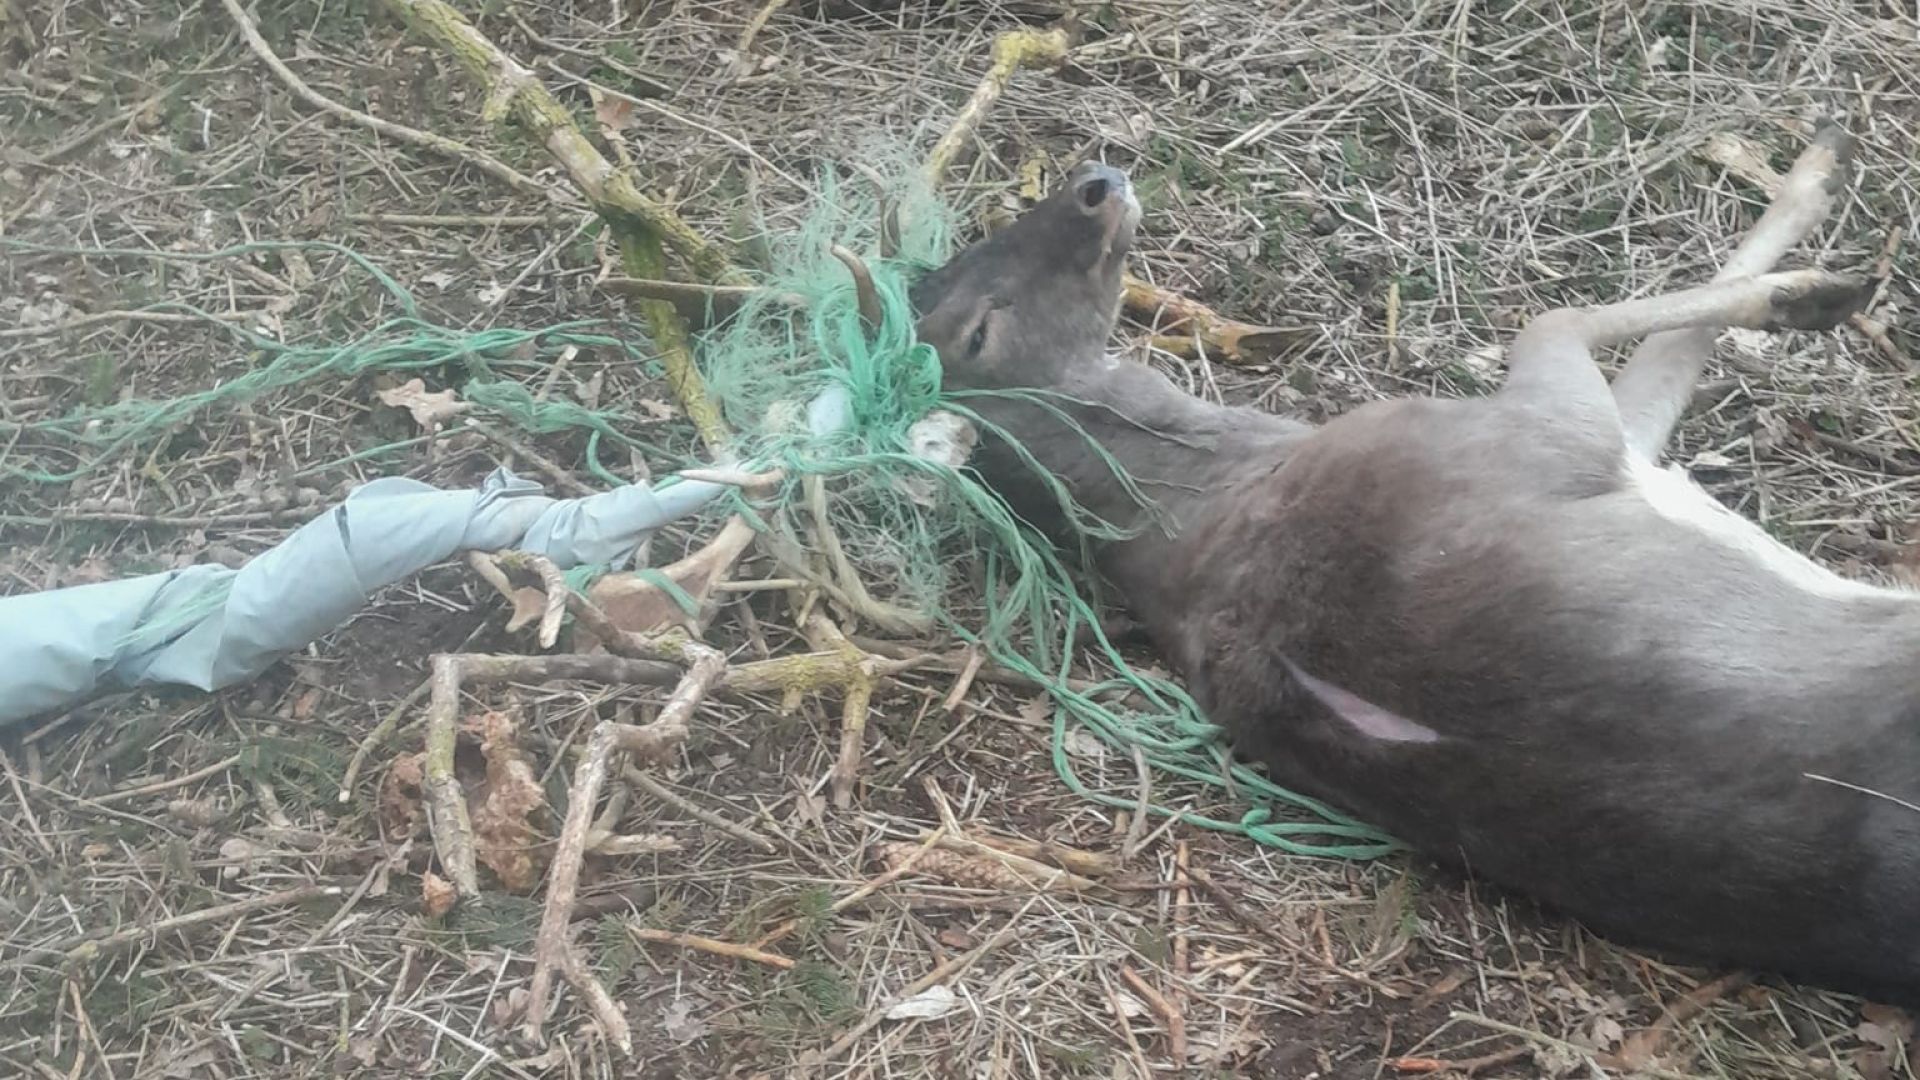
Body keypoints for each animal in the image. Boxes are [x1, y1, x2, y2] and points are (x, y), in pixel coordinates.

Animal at [890, 119, 1920, 999]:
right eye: (981, 328)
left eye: (959, 262)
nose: (1094, 185)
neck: (1225, 478)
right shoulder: (1542, 434)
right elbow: (1556, 315)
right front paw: (1814, 265)